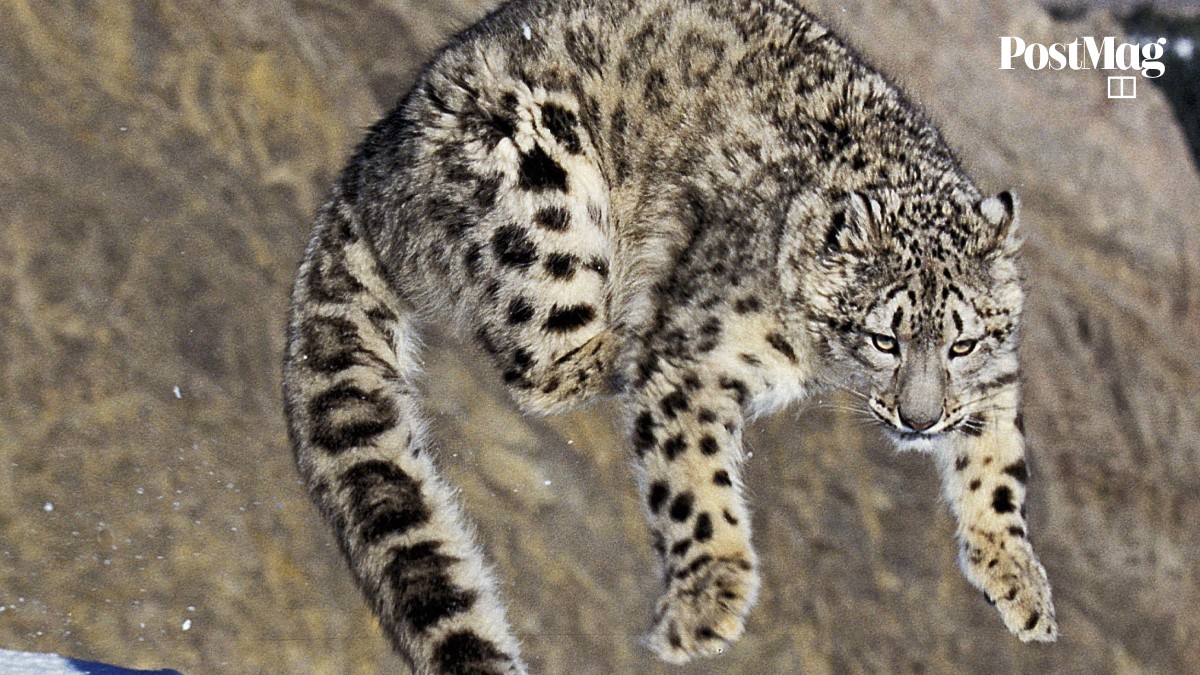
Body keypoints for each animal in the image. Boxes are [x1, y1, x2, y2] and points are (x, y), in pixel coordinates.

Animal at [282, 0, 1057, 671]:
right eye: (883, 339)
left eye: (962, 343)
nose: (919, 419)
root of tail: (375, 157)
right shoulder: (699, 354)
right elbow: (694, 478)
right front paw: (708, 602)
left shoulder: (994, 378)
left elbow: (998, 465)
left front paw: (1020, 581)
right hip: (539, 191)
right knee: (542, 365)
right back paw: (626, 339)